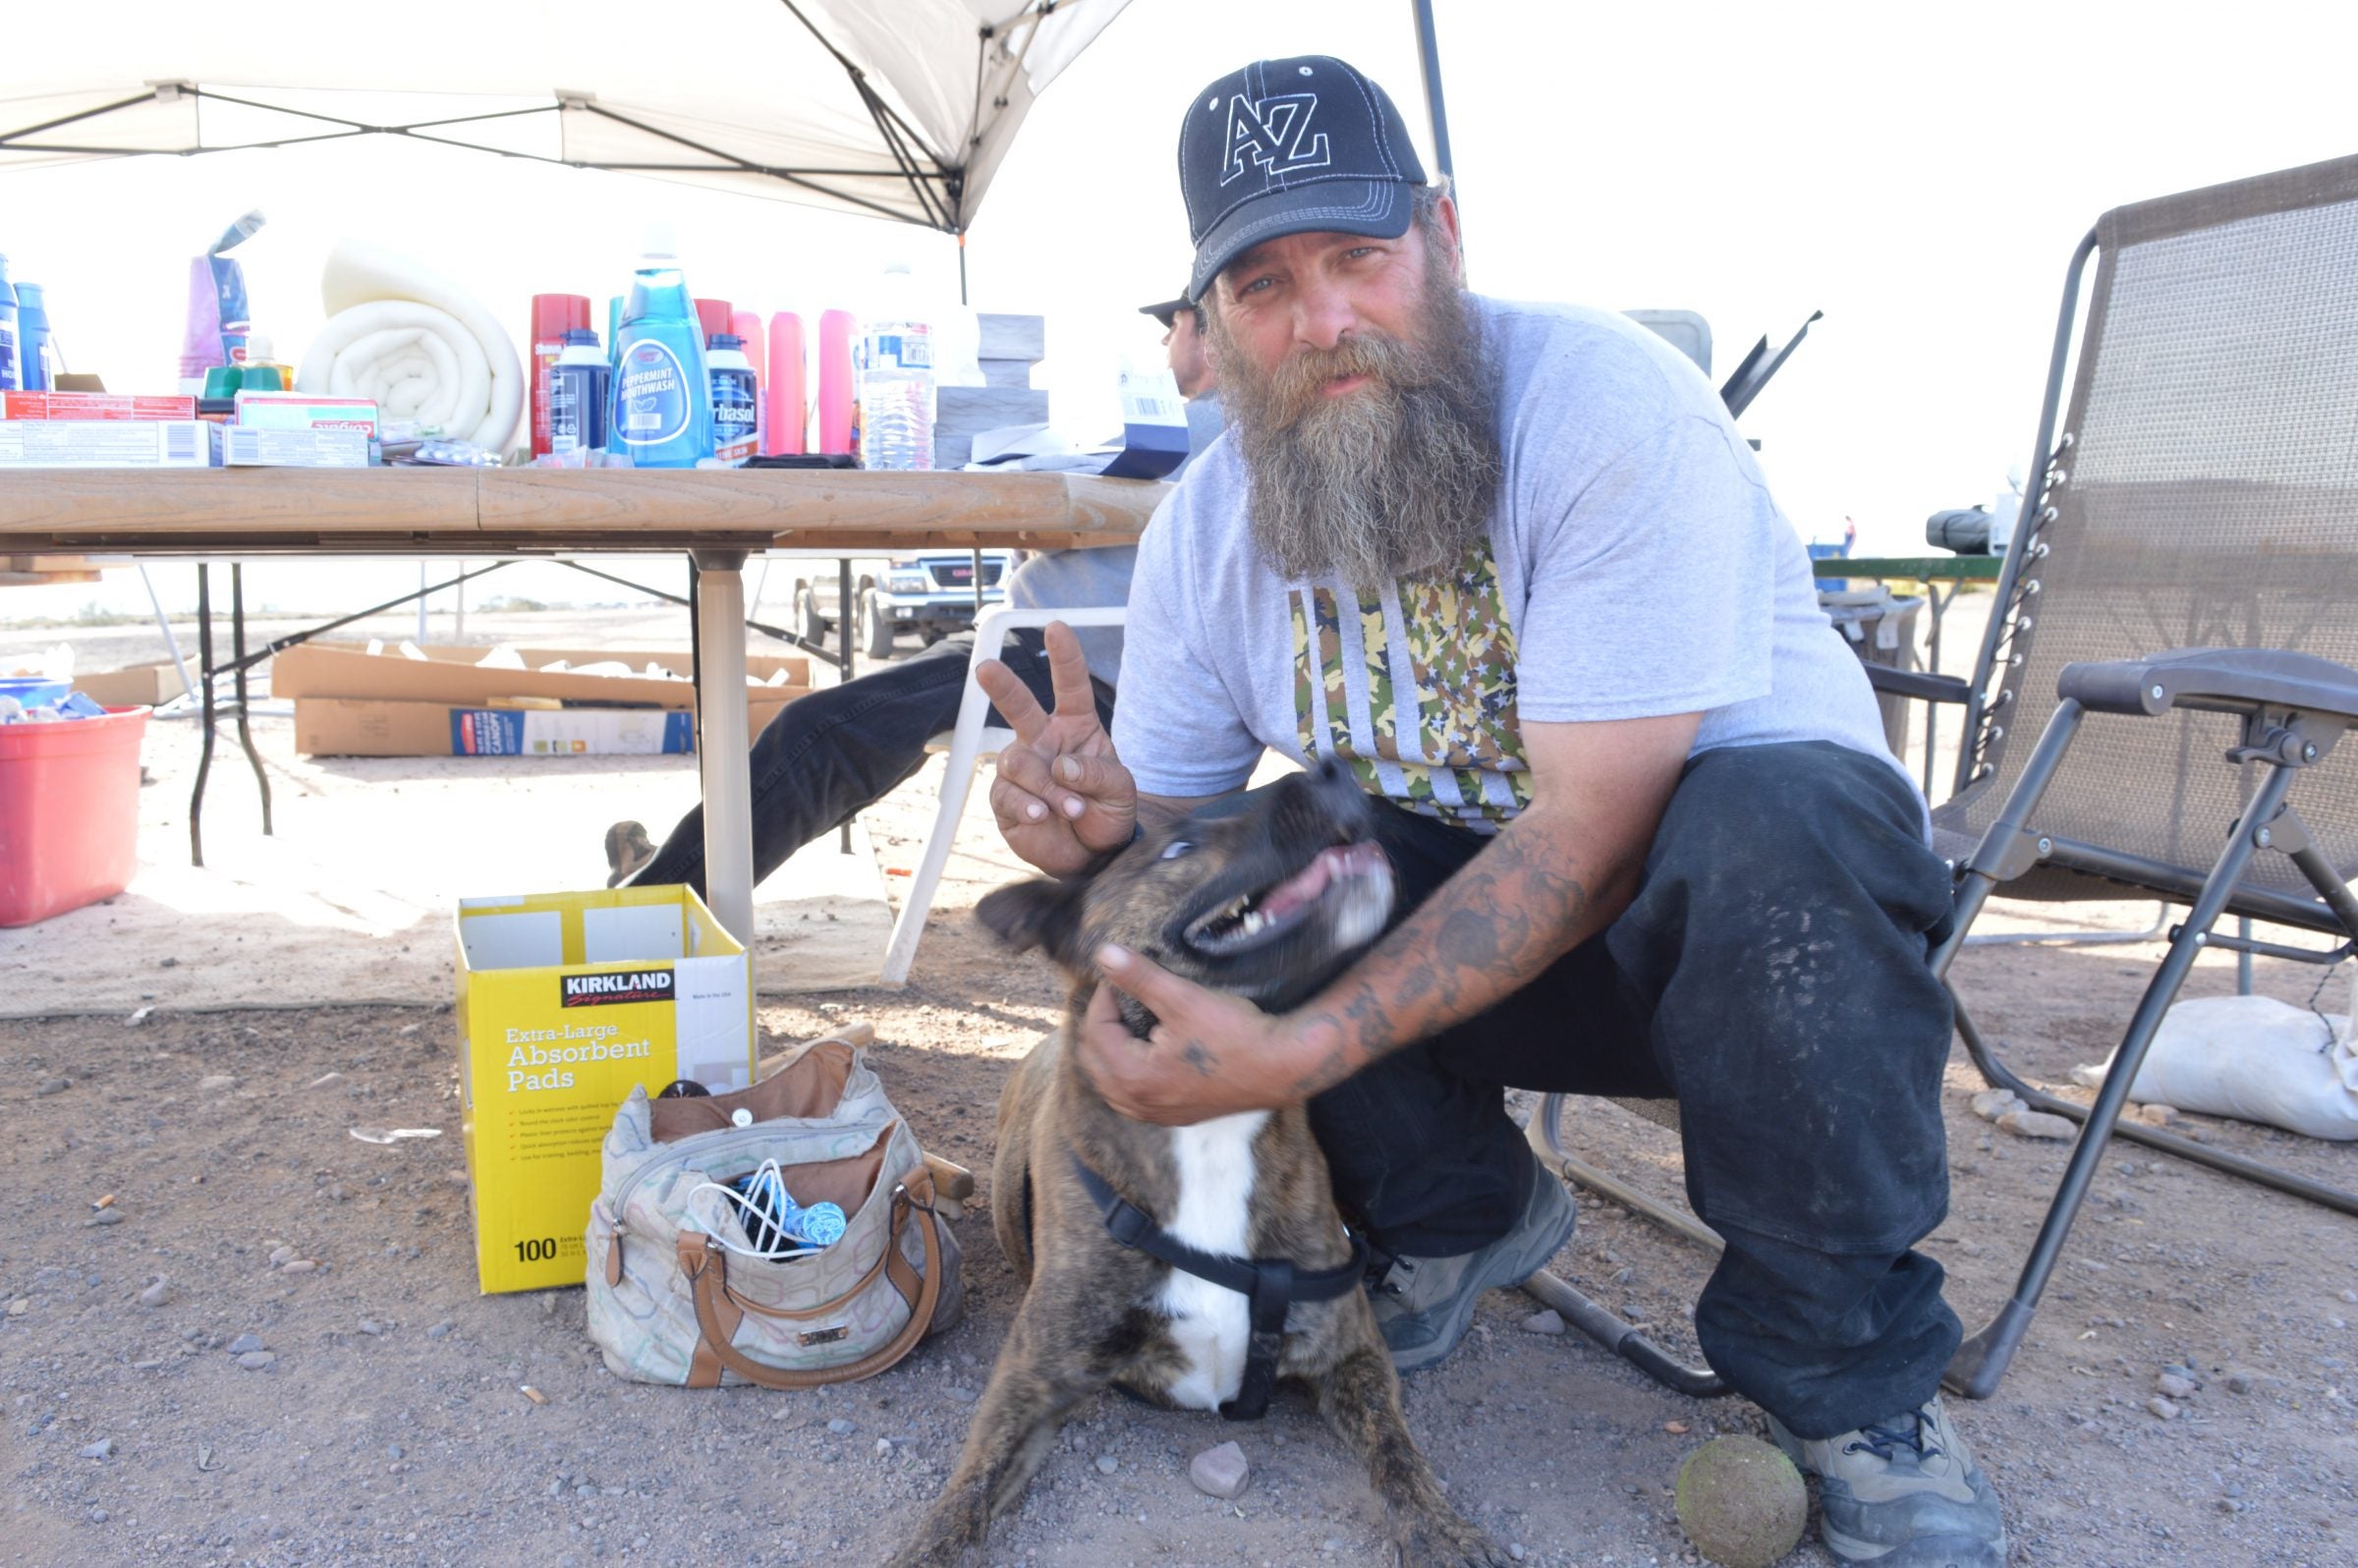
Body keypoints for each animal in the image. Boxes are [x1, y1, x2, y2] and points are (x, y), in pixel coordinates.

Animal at [886, 758, 1509, 1565]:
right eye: (1178, 848)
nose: (1333, 769)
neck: (1211, 1130)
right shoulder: (1032, 1377)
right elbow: (963, 1500)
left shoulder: (1354, 1356)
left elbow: (1400, 1456)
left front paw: (1444, 1530)